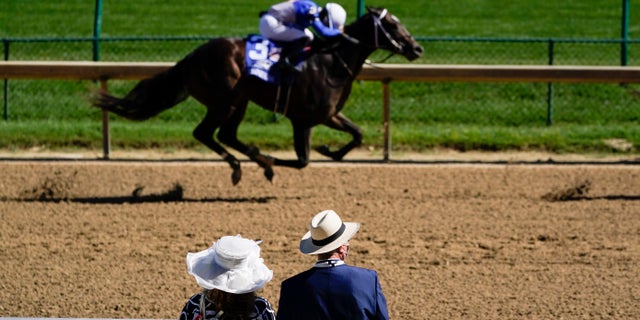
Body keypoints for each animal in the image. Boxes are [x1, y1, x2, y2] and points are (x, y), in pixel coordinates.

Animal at [92, 7, 422, 185]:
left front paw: (328, 151)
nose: (417, 48)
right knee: (206, 133)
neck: (332, 60)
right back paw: (247, 166)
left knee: (224, 135)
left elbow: (357, 134)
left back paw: (248, 164)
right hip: (225, 99)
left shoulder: (327, 115)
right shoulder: (303, 119)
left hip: (238, 101)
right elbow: (302, 161)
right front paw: (273, 161)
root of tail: (191, 57)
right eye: (392, 24)